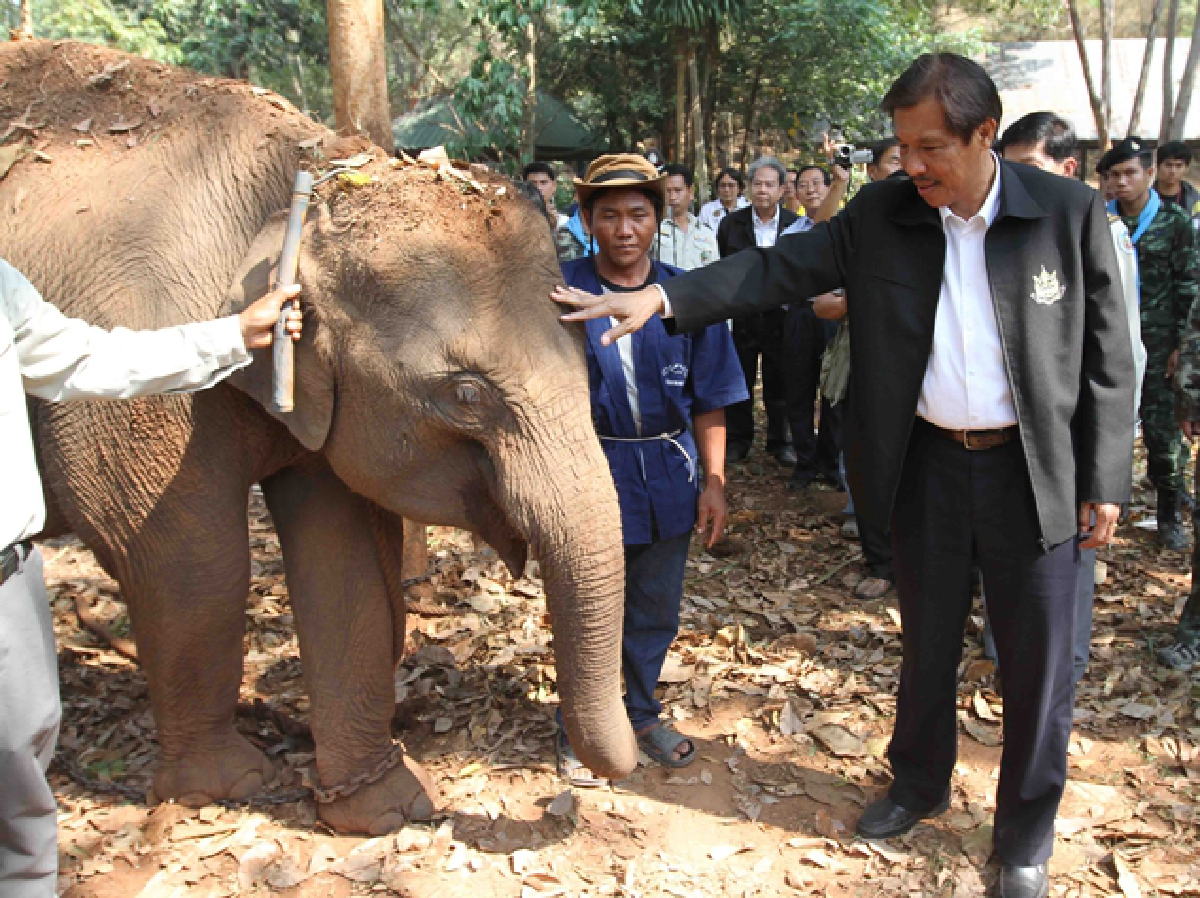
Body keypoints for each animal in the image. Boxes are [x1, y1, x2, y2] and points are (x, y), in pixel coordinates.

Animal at [0, 40, 637, 834]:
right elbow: (190, 562)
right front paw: (228, 784)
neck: (307, 183)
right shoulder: (132, 388)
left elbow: (343, 563)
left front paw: (381, 808)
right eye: (467, 395)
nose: (595, 780)